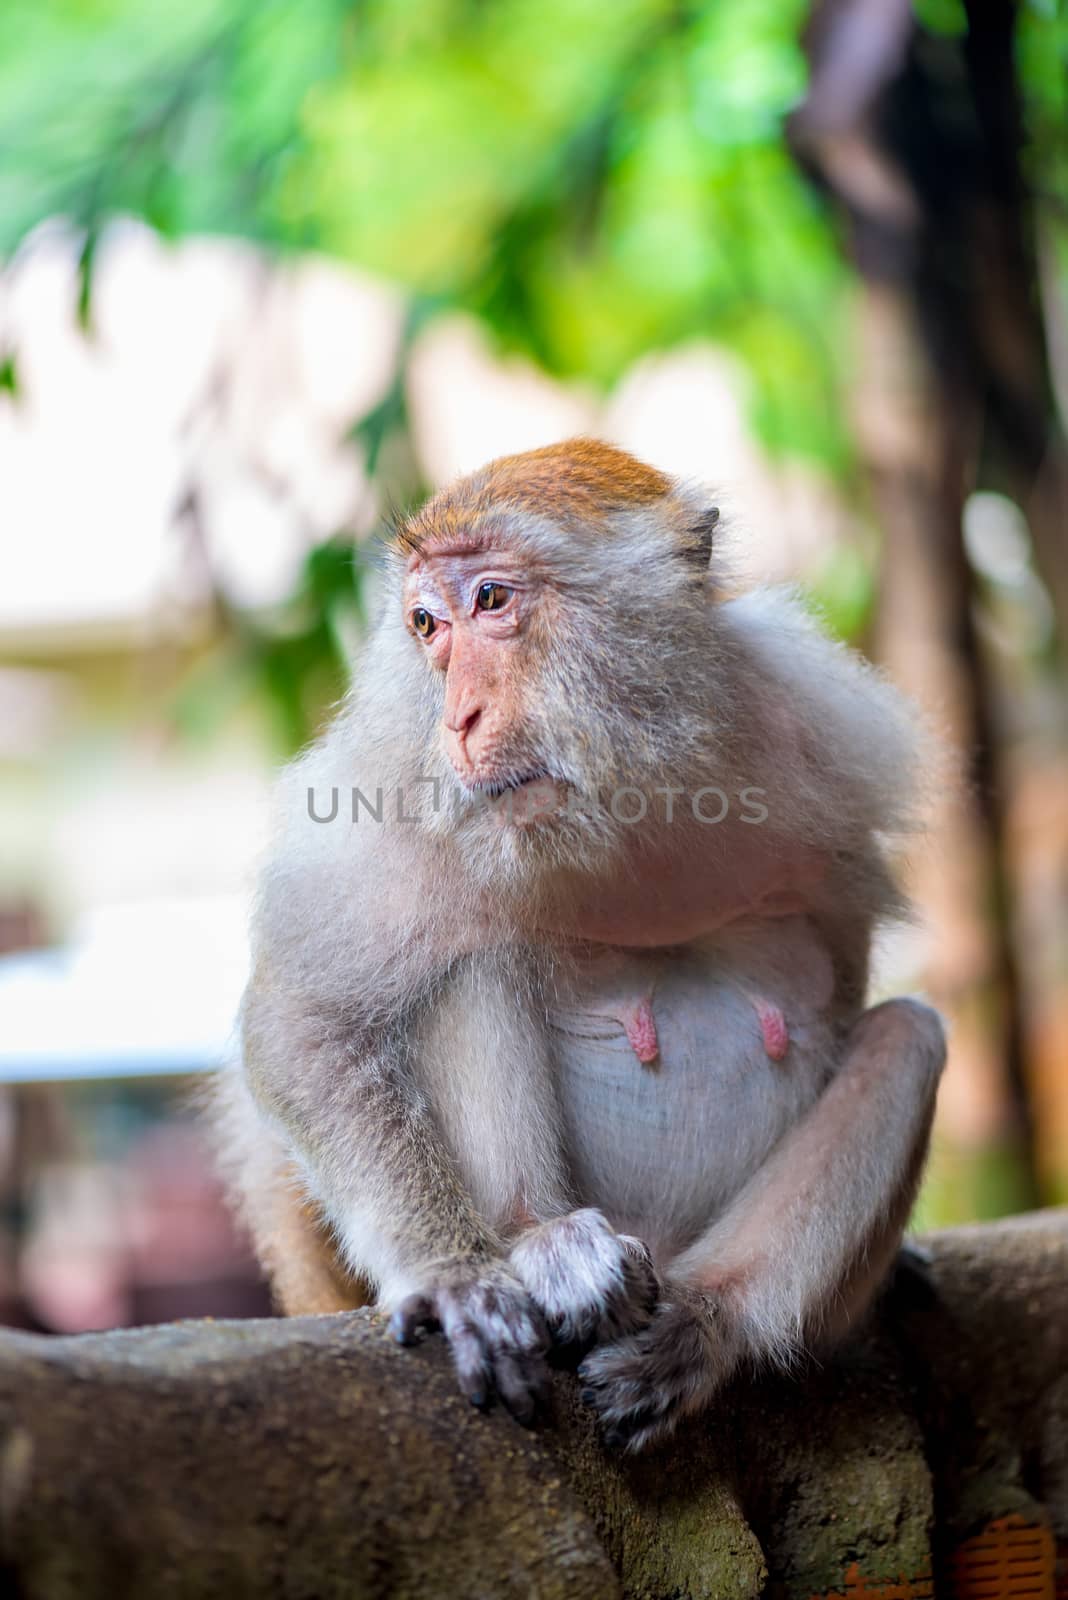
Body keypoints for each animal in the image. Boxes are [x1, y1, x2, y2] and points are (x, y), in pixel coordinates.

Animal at [214, 438, 940, 1452]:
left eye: (491, 599)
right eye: (426, 625)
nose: (459, 719)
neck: (625, 787)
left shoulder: (824, 736)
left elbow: (844, 979)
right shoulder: (392, 780)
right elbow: (303, 1024)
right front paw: (454, 1273)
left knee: (907, 1036)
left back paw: (701, 1326)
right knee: (467, 965)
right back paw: (541, 1244)